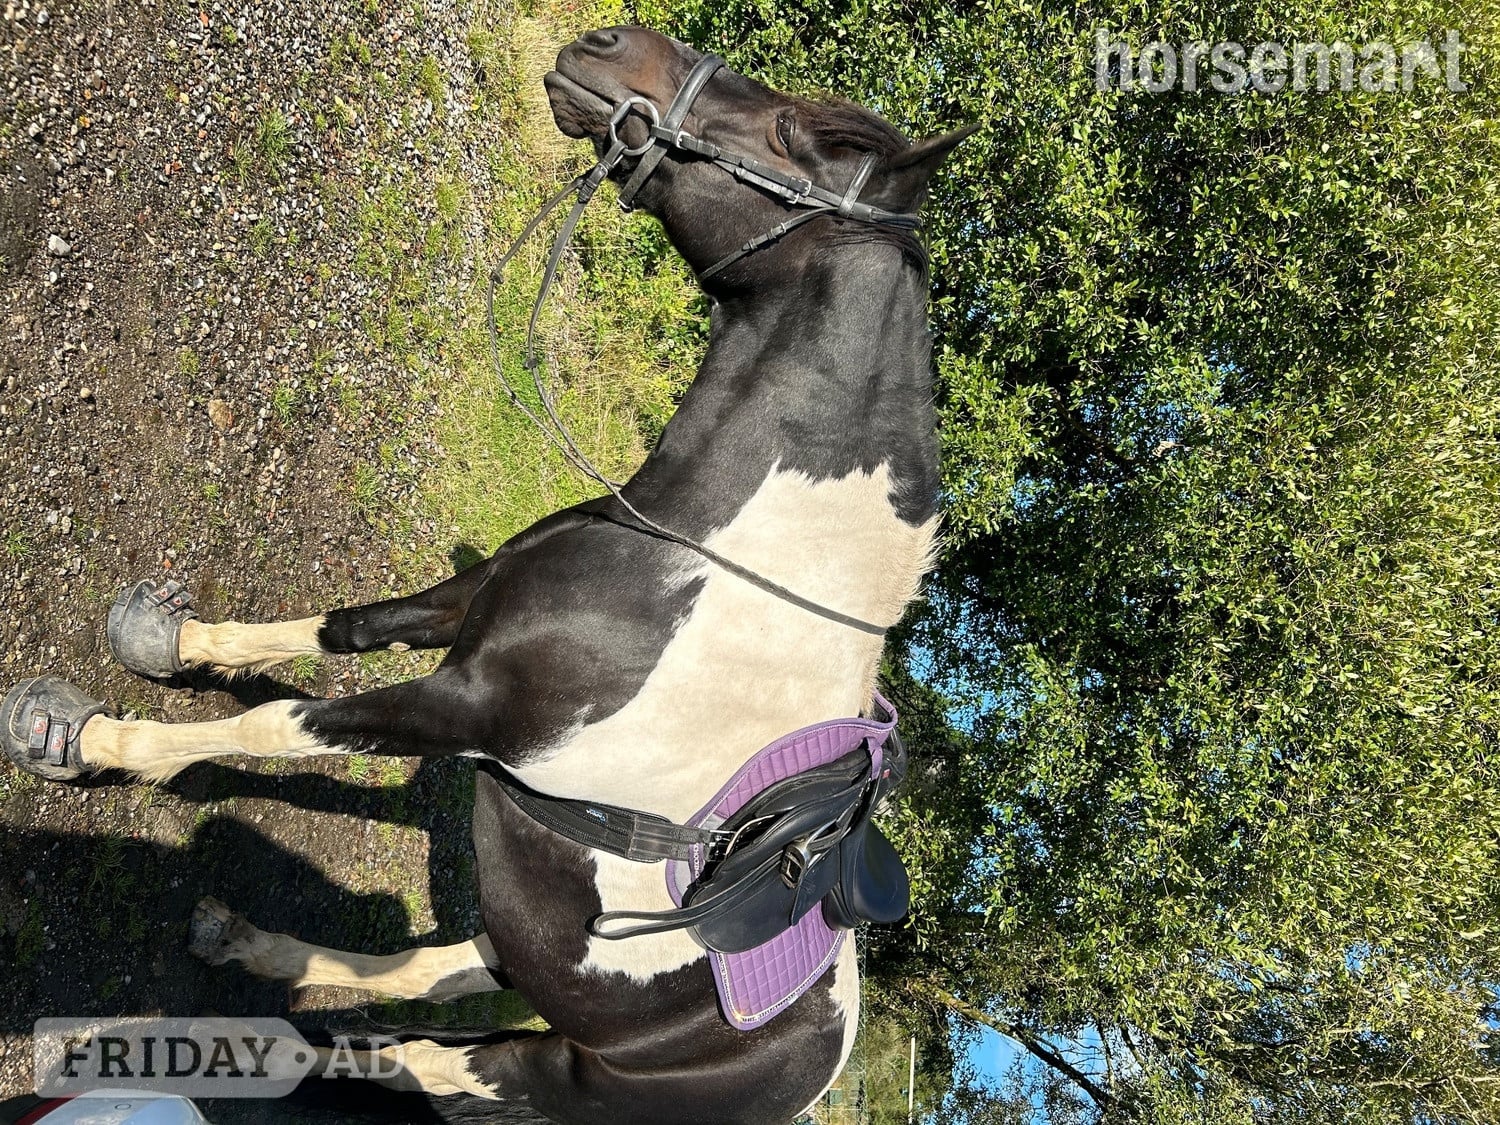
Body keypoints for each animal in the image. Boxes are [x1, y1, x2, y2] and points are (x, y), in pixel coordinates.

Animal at [3, 25, 972, 1124]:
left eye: (802, 132)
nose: (608, 43)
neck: (707, 562)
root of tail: (808, 1073)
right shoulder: (470, 607)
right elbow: (345, 628)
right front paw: (175, 644)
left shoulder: (467, 711)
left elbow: (278, 726)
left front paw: (95, 743)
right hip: (529, 958)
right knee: (431, 973)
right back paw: (255, 946)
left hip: (543, 1070)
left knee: (410, 1057)